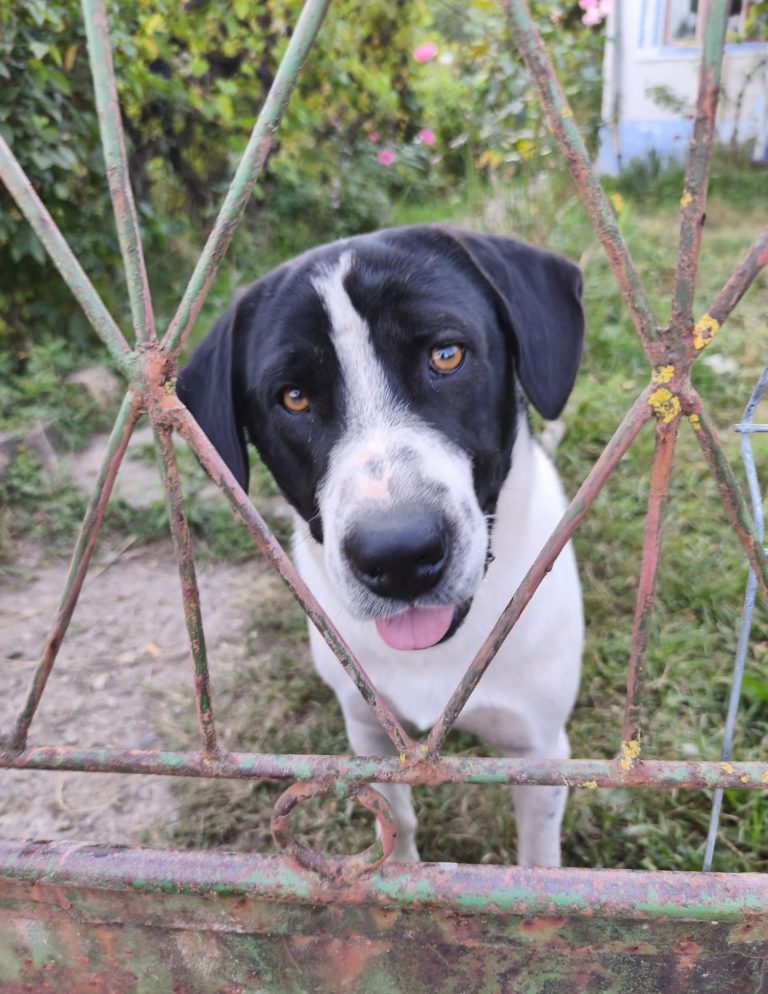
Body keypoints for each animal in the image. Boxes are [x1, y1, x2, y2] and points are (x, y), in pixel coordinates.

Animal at [176, 224, 584, 866]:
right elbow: (395, 822)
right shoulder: (370, 733)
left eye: (447, 355)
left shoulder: (541, 748)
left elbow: (537, 855)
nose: (398, 558)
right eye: (293, 397)